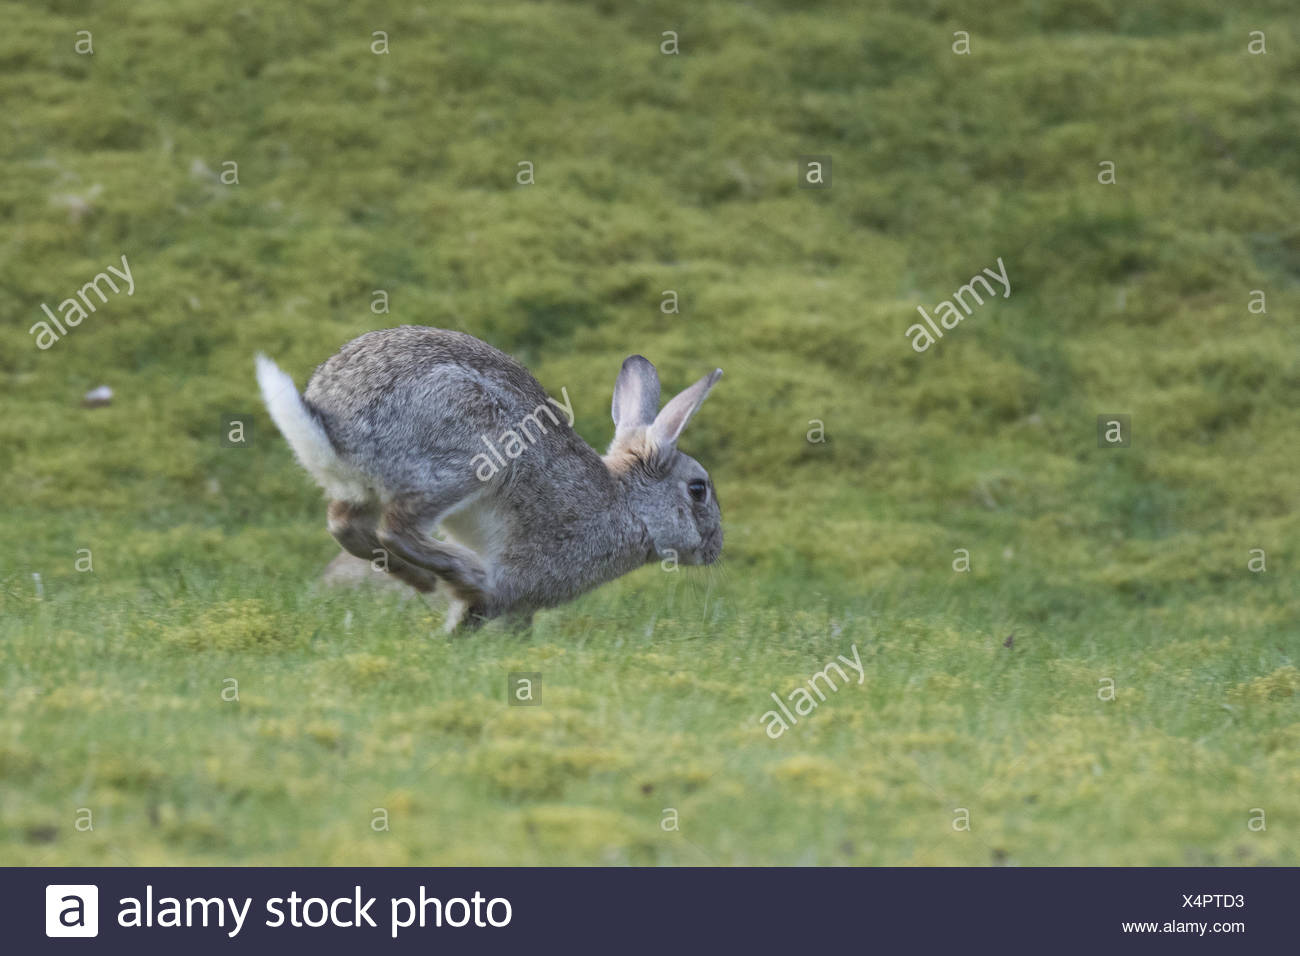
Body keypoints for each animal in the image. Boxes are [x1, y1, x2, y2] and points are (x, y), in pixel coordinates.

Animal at [256, 326, 722, 631]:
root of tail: (334, 424)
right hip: (467, 458)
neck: (629, 506)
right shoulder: (524, 576)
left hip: (365, 489)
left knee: (345, 524)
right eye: (698, 489)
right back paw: (460, 573)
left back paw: (423, 578)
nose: (716, 550)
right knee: (396, 528)